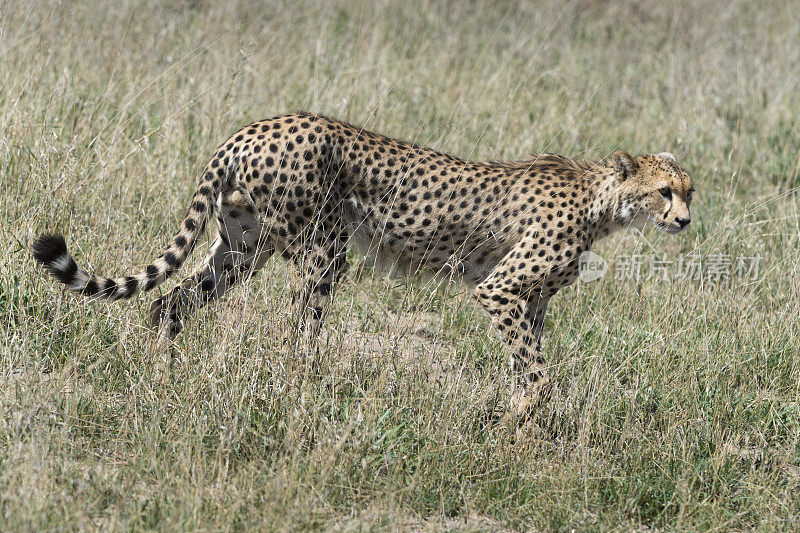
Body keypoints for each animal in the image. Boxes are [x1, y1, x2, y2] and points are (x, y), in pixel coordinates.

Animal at [32, 112, 692, 418]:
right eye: (665, 192)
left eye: (690, 192)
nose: (684, 221)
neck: (604, 201)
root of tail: (252, 128)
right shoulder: (501, 289)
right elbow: (535, 368)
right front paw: (528, 419)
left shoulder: (531, 301)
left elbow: (528, 358)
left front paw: (521, 416)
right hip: (323, 248)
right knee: (298, 328)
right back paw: (308, 389)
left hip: (244, 247)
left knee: (171, 300)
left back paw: (163, 372)